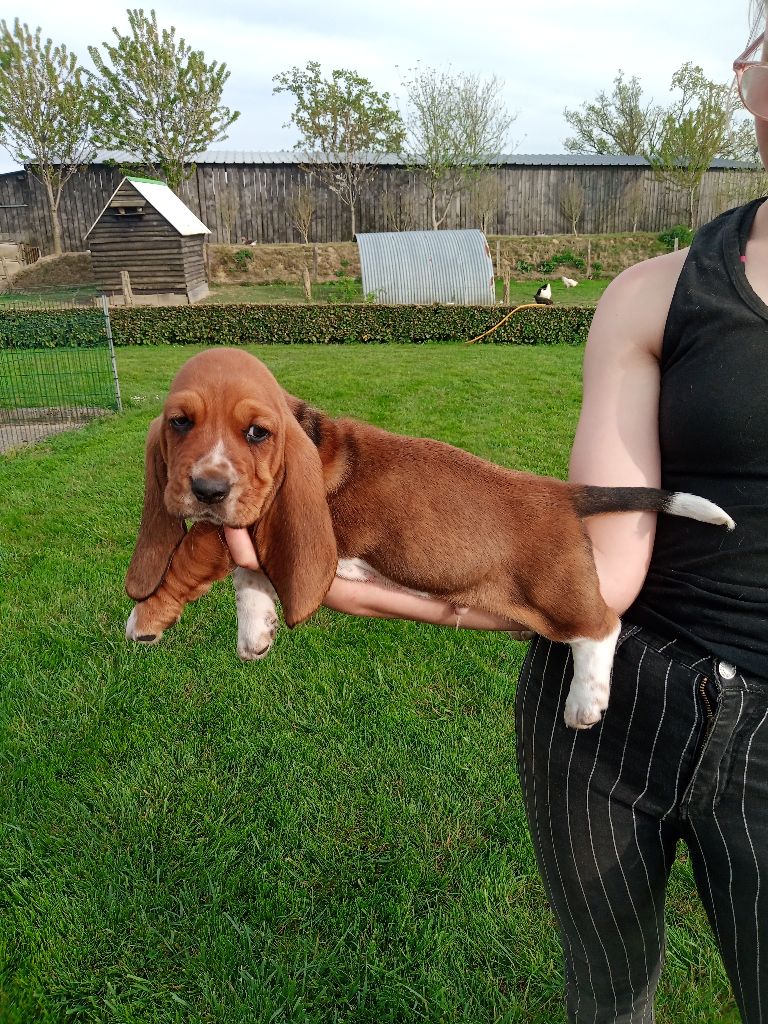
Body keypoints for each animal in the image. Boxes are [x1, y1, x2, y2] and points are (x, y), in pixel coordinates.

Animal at [125, 348, 734, 729]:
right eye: (180, 423)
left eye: (255, 433)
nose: (205, 487)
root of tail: (562, 494)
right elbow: (249, 576)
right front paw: (256, 632)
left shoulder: (241, 519)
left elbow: (193, 553)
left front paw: (146, 617)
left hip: (556, 590)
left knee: (601, 627)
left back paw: (585, 703)